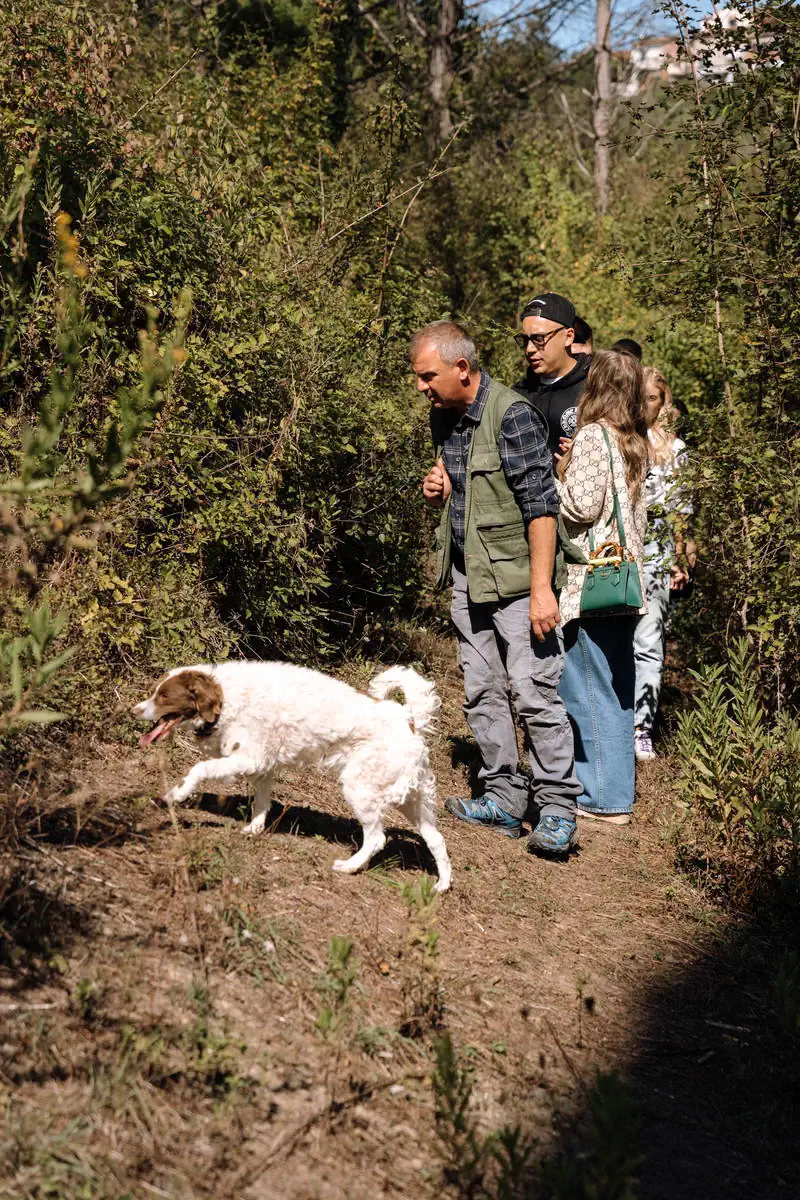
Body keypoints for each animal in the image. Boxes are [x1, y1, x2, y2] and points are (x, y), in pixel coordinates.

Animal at [134, 667, 453, 892]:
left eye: (163, 696)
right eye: (155, 692)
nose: (134, 710)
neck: (228, 699)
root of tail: (409, 719)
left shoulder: (249, 758)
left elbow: (199, 770)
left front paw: (176, 794)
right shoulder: (262, 766)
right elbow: (262, 803)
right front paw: (254, 829)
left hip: (361, 789)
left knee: (376, 838)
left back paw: (349, 866)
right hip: (414, 803)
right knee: (437, 841)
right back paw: (442, 885)